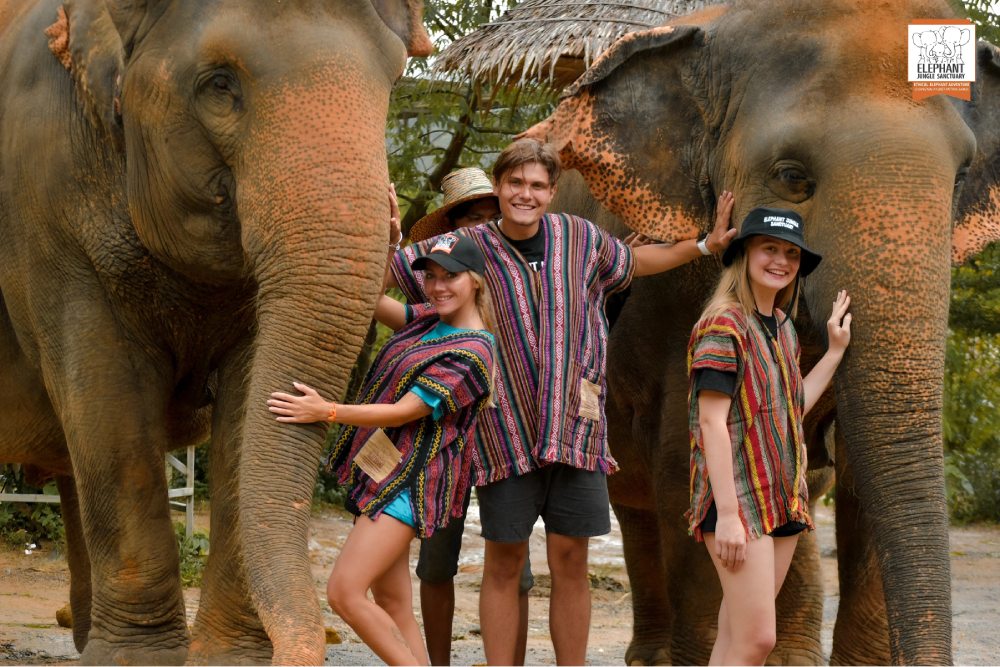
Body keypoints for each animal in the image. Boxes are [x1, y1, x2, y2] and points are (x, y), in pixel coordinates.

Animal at [0, 0, 431, 664]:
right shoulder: (42, 205)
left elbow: (245, 407)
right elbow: (108, 404)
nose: (392, 207)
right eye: (219, 85)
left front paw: (224, 659)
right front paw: (139, 661)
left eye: (392, 83)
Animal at [523, 0, 1000, 664]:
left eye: (959, 181)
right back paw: (655, 655)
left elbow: (864, 478)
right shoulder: (677, 308)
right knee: (638, 500)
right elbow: (686, 465)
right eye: (791, 175)